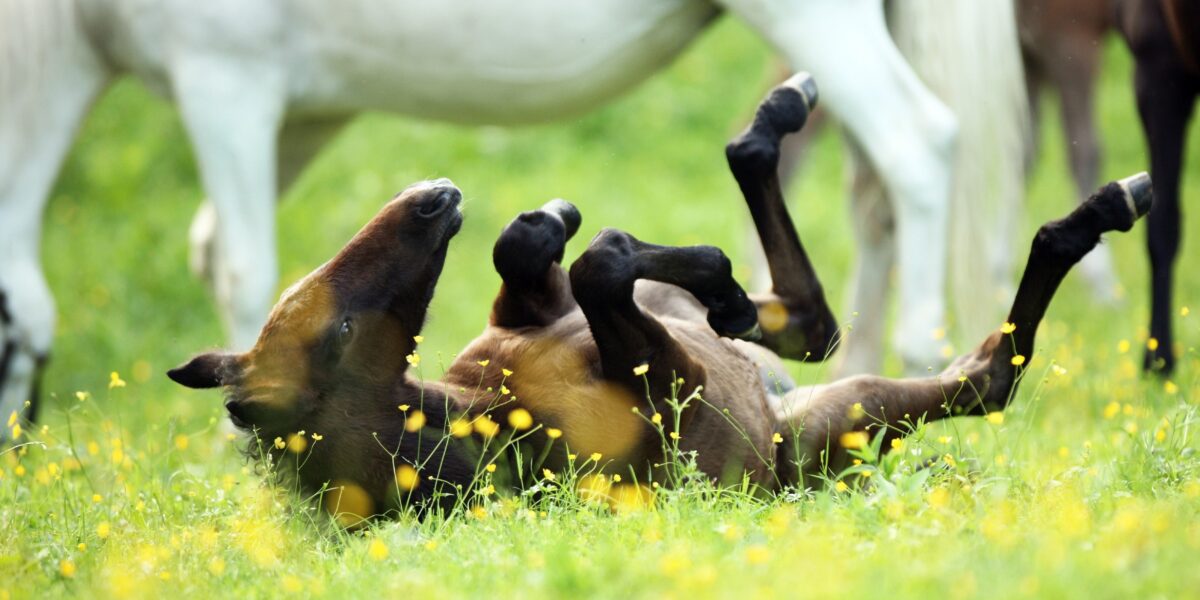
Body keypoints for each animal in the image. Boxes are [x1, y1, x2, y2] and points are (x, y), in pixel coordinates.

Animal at [0, 0, 980, 436]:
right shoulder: (303, 111)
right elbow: (222, 253)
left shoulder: (225, 71)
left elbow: (241, 264)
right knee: (824, 259)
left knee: (917, 148)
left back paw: (912, 348)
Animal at [168, 76, 1152, 521]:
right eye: (336, 327)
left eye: (316, 297)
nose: (432, 197)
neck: (487, 413)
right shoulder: (678, 394)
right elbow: (606, 264)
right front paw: (705, 271)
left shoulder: (529, 312)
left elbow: (536, 250)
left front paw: (552, 216)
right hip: (847, 416)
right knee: (986, 373)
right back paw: (1100, 209)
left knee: (808, 318)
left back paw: (771, 124)